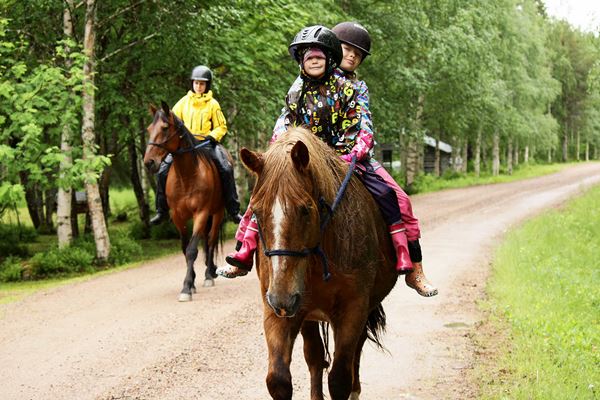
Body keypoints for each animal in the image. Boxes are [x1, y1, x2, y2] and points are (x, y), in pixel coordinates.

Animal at [145, 101, 225, 302]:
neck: (187, 176)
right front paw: (192, 282)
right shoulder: (177, 216)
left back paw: (209, 274)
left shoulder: (201, 213)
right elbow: (184, 247)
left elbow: (192, 250)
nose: (149, 162)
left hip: (217, 213)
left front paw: (187, 288)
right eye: (149, 128)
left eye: (165, 128)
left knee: (211, 240)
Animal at [239, 129, 398, 400]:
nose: (282, 298)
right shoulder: (278, 311)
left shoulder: (353, 309)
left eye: (305, 210)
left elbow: (340, 379)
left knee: (355, 354)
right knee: (314, 358)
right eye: (256, 212)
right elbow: (279, 380)